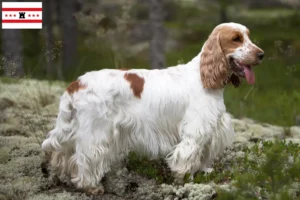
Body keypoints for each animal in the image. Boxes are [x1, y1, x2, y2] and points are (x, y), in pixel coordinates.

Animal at [41, 22, 262, 195]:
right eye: (236, 39)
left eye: (248, 36)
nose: (261, 54)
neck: (203, 77)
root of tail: (76, 83)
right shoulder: (196, 130)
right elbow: (187, 157)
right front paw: (186, 180)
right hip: (96, 132)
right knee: (86, 157)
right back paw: (91, 186)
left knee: (61, 153)